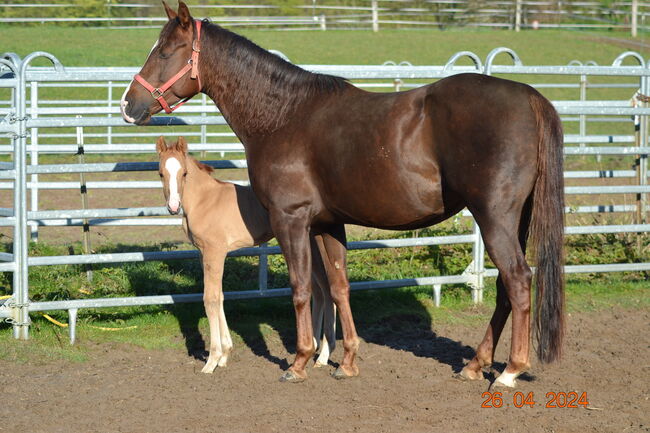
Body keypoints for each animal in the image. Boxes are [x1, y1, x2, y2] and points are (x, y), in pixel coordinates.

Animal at [158, 137, 336, 372]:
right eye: (161, 173)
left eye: (184, 173)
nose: (173, 206)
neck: (205, 201)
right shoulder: (204, 254)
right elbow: (220, 296)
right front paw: (225, 355)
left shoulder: (215, 253)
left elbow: (210, 299)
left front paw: (212, 360)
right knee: (319, 291)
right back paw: (314, 348)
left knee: (327, 289)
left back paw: (323, 355)